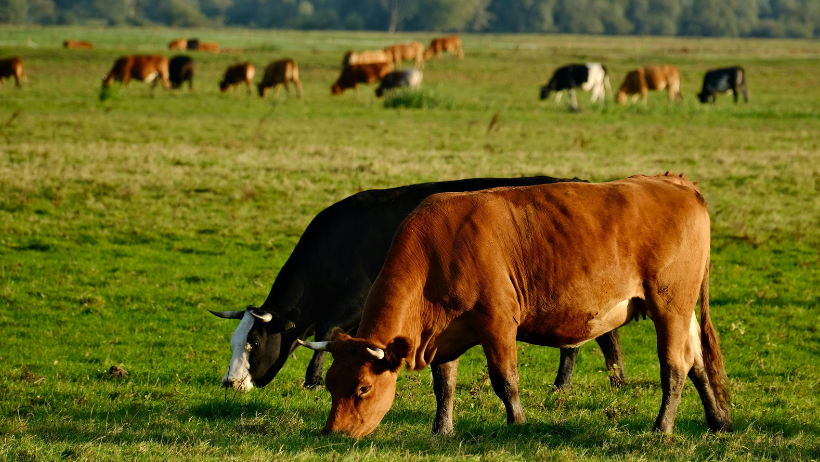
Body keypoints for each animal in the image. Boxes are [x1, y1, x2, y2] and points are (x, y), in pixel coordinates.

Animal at [208, 176, 626, 406]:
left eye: (254, 343)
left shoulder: (353, 301)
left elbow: (326, 334)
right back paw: (589, 384)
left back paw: (592, 383)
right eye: (233, 341)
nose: (230, 383)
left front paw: (311, 381)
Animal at [299, 173, 734, 439]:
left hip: (669, 305)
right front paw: (442, 430)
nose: (333, 433)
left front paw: (518, 422)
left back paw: (662, 428)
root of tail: (674, 182)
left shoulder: (498, 323)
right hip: (683, 310)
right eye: (330, 385)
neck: (437, 250)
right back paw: (718, 420)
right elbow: (444, 385)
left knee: (674, 367)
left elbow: (505, 379)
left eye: (363, 388)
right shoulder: (442, 335)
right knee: (696, 362)